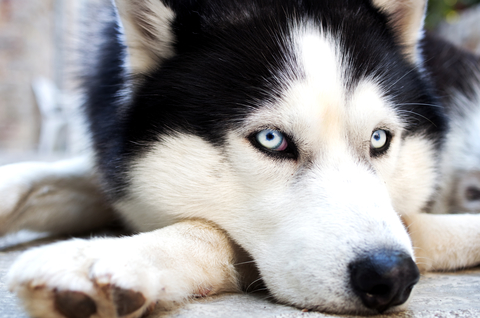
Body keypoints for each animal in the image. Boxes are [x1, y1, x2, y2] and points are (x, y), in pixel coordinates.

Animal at [2, 0, 480, 316]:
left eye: (379, 139)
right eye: (272, 140)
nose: (391, 275)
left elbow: (210, 232)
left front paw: (107, 258)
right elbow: (33, 178)